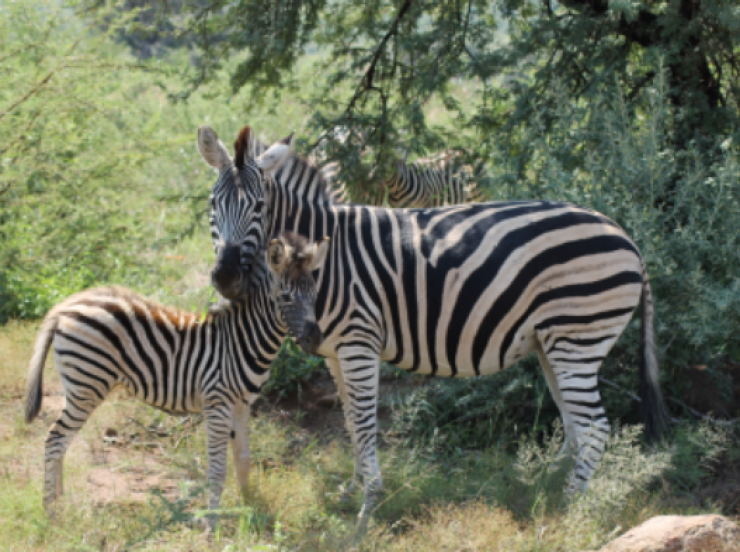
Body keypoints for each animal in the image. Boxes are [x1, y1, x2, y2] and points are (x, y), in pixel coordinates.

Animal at [25, 177, 330, 520]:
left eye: (314, 293)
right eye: (286, 297)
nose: (315, 339)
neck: (243, 339)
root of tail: (65, 306)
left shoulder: (241, 405)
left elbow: (244, 460)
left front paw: (250, 508)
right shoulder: (217, 402)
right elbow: (217, 471)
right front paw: (213, 522)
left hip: (79, 385)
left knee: (61, 442)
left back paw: (61, 503)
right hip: (87, 384)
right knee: (55, 440)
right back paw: (51, 512)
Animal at [201, 127, 672, 524]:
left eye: (259, 207)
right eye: (211, 205)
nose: (225, 277)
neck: (323, 259)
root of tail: (628, 239)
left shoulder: (359, 343)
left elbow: (366, 424)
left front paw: (368, 504)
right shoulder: (334, 350)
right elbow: (351, 421)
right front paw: (351, 490)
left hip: (578, 336)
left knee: (594, 428)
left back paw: (567, 506)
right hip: (551, 343)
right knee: (574, 422)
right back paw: (547, 487)